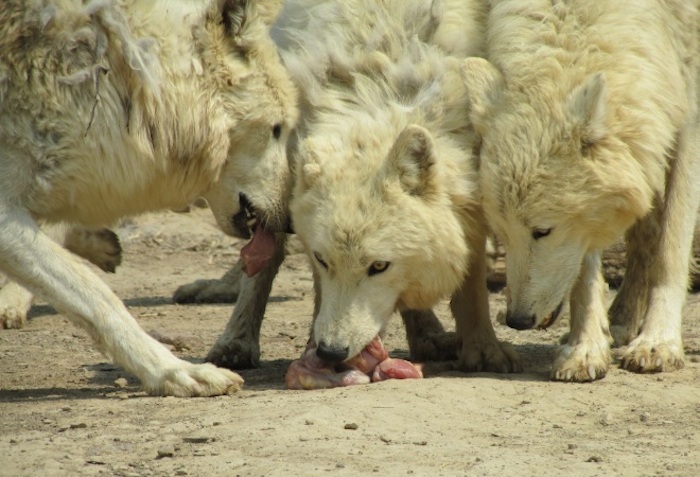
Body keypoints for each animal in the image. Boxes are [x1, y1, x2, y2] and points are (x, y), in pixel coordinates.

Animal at [460, 0, 700, 380]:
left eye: (543, 231)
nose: (516, 320)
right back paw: (618, 322)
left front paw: (658, 343)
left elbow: (671, 247)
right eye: (502, 235)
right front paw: (584, 349)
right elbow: (586, 272)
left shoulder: (687, 98)